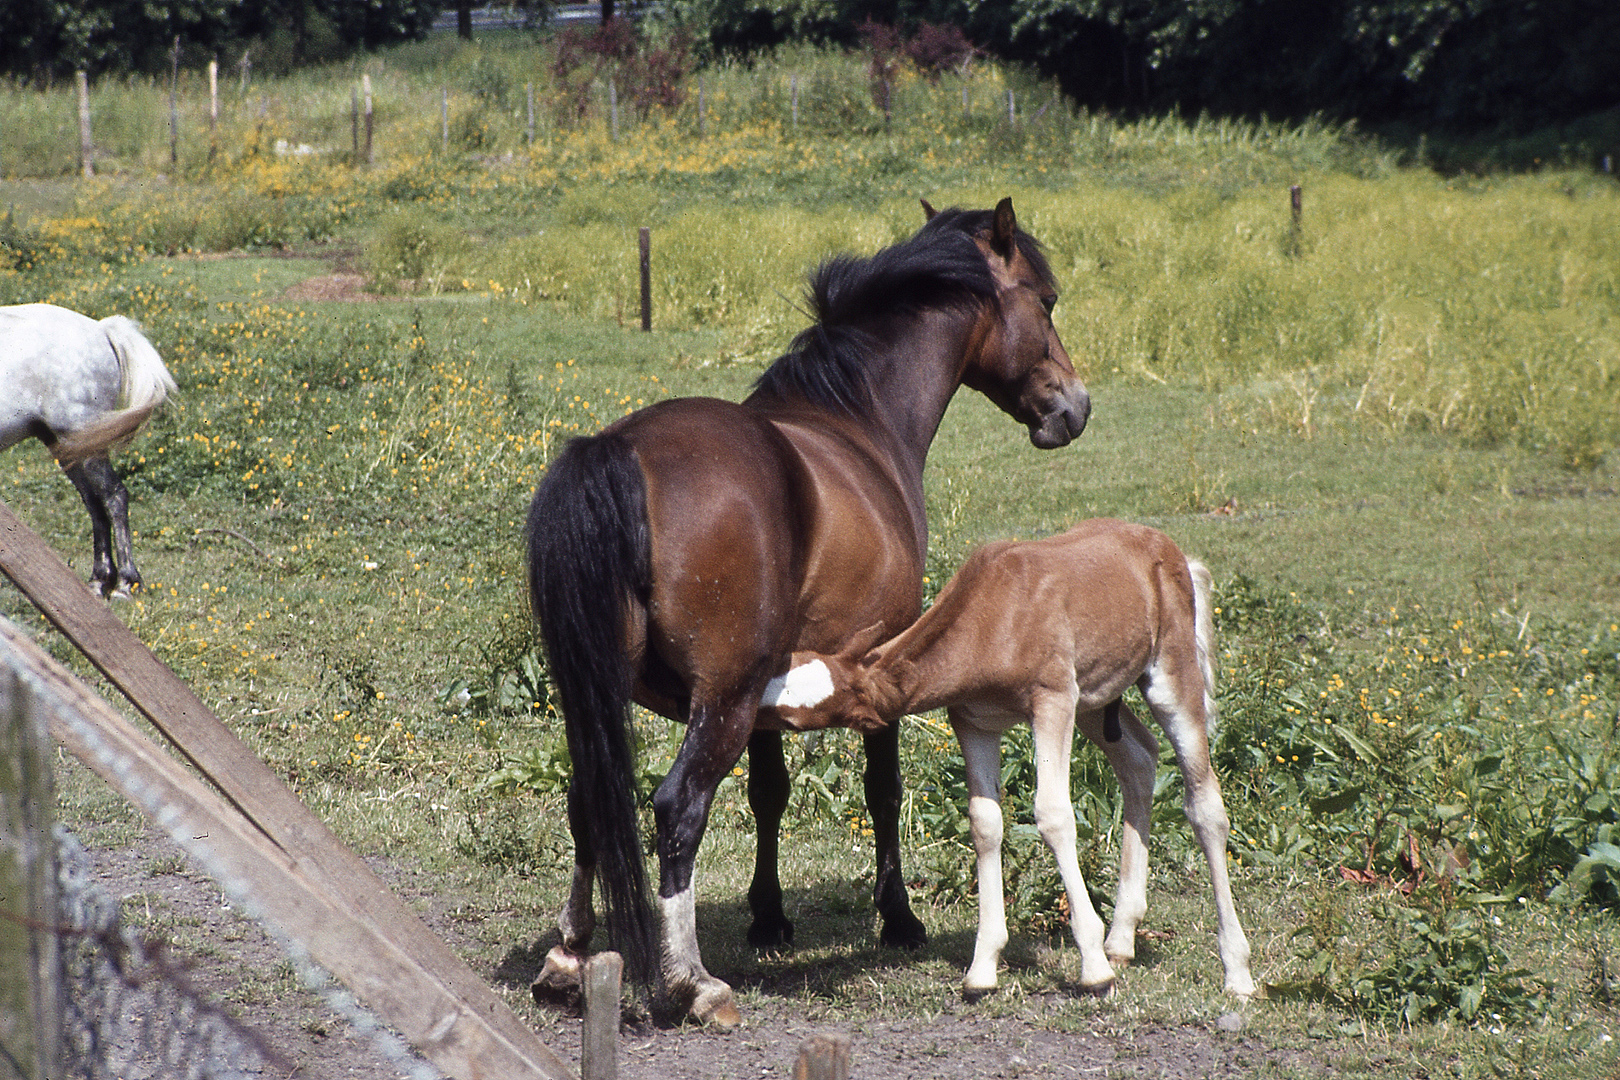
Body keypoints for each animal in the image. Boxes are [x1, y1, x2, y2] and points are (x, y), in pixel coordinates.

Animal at [0, 302, 175, 599]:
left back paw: (125, 584)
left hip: (87, 441)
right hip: (69, 448)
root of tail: (101, 329)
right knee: (94, 503)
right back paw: (100, 580)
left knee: (114, 496)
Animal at [764, 518, 1257, 1003]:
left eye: (789, 715)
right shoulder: (974, 721)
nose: (745, 716)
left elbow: (1053, 816)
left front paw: (1093, 969)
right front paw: (983, 969)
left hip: (1168, 674)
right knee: (1139, 759)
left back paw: (1236, 971)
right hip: (1095, 699)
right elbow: (984, 824)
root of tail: (1173, 552)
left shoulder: (1052, 700)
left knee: (1204, 802)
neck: (995, 618)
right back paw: (1121, 938)